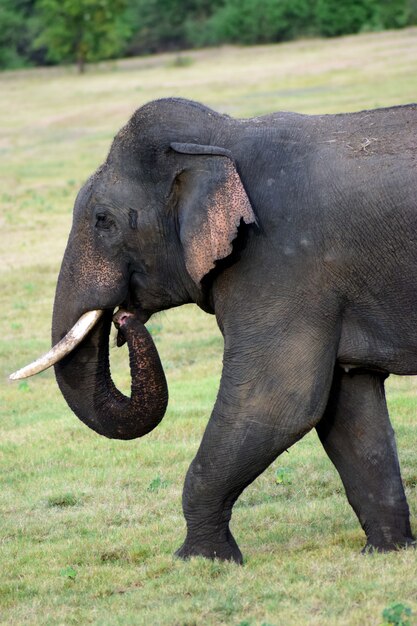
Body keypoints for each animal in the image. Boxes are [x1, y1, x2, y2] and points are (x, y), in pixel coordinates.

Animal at [11, 96, 416, 560]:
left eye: (103, 220)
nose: (123, 319)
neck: (221, 137)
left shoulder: (282, 262)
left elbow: (277, 402)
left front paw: (200, 559)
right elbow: (346, 406)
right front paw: (387, 552)